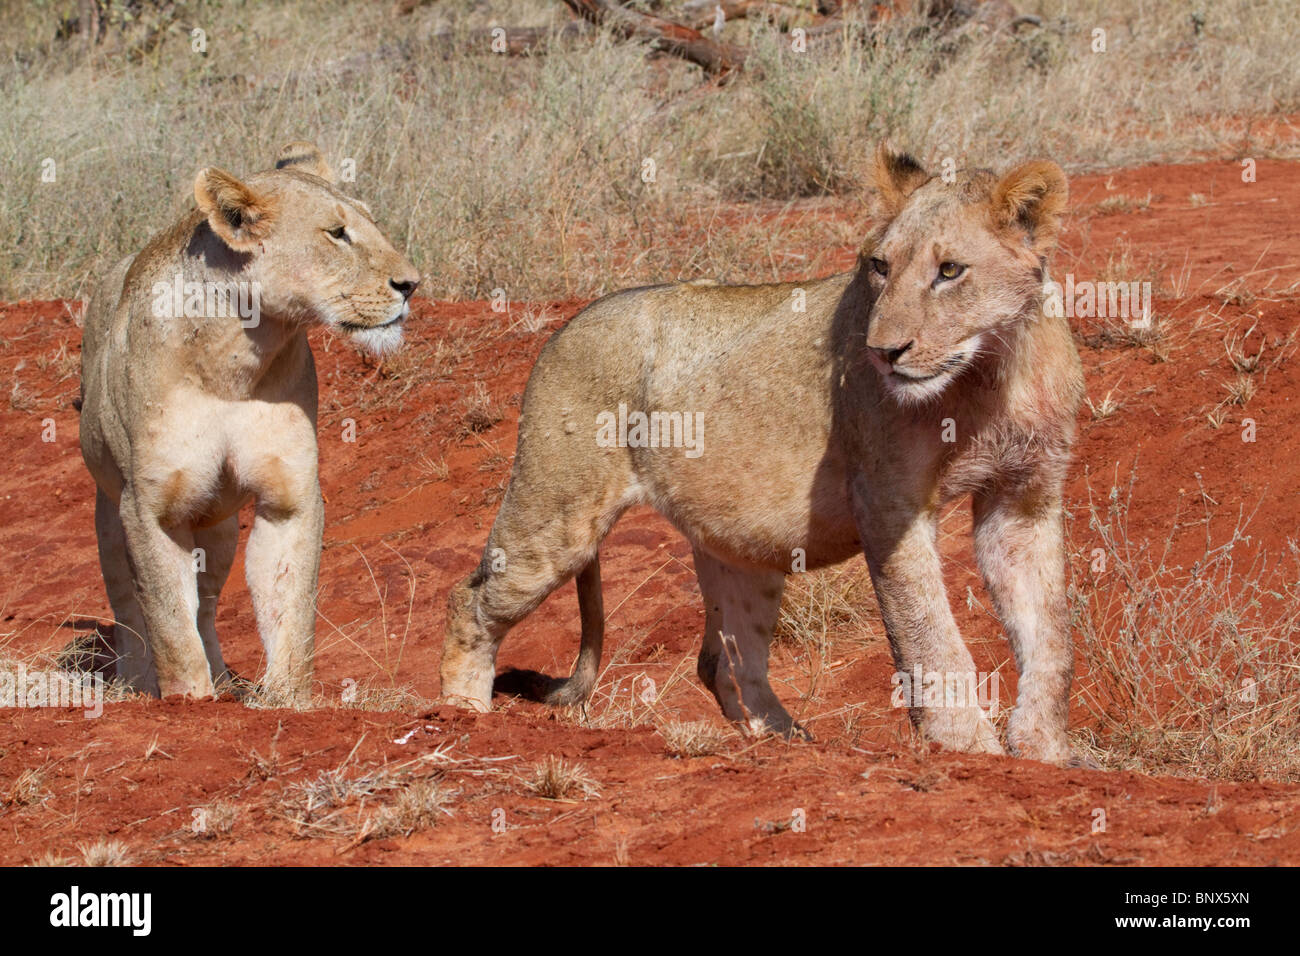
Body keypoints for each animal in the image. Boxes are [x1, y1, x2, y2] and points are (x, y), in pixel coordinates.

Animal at [78, 140, 421, 702]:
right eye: (337, 232)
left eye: (372, 222)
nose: (412, 284)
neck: (235, 359)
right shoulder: (151, 507)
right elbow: (169, 621)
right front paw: (189, 700)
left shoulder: (289, 496)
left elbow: (289, 606)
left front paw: (287, 697)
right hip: (110, 515)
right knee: (131, 608)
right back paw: (136, 684)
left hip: (215, 526)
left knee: (207, 604)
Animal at [444, 145, 1086, 764]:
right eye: (880, 267)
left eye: (950, 271)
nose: (882, 352)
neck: (990, 374)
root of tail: (564, 327)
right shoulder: (890, 505)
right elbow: (932, 638)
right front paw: (968, 748)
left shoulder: (1022, 497)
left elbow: (1051, 640)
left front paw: (1047, 751)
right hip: (557, 519)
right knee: (467, 601)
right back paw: (464, 718)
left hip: (741, 547)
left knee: (725, 662)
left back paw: (788, 742)